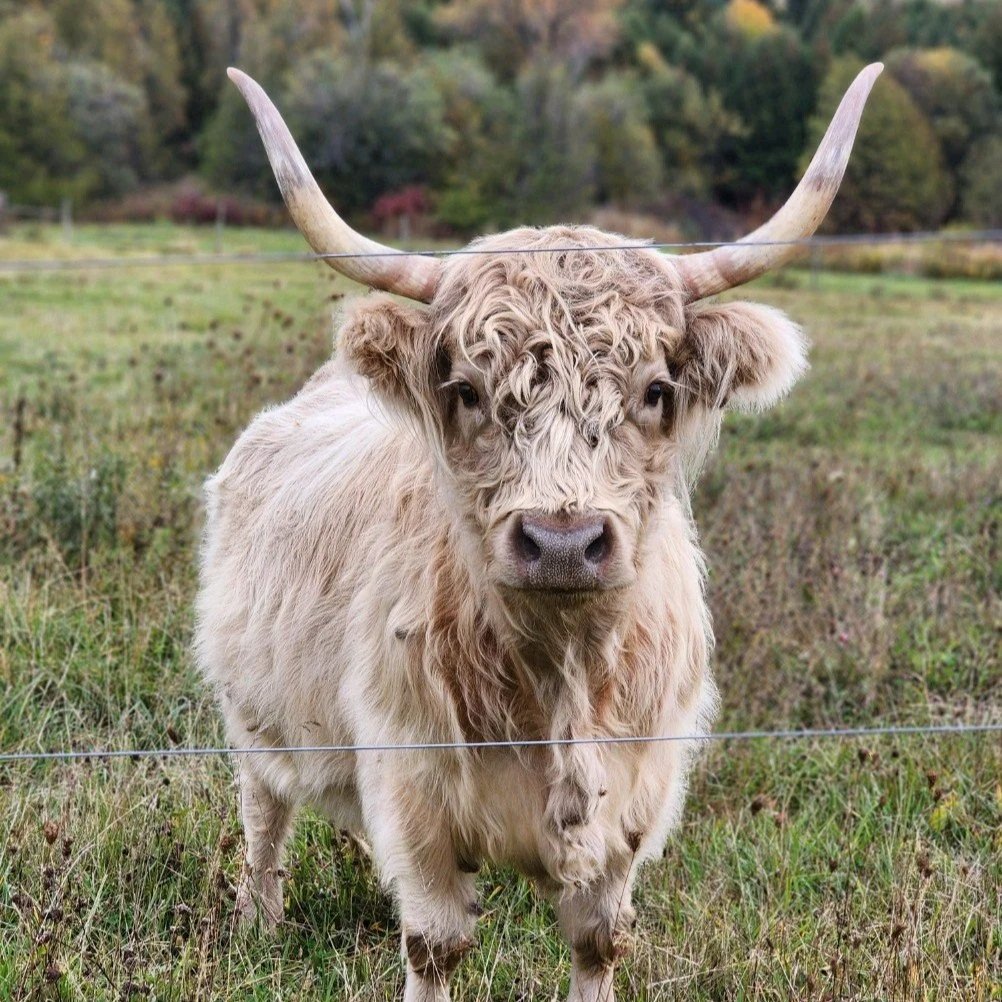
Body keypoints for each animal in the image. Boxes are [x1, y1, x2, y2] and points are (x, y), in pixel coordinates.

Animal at [196, 64, 882, 1002]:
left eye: (657, 389)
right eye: (467, 389)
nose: (562, 542)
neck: (559, 681)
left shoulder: (633, 805)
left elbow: (599, 942)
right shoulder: (414, 791)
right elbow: (435, 943)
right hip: (253, 716)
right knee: (265, 811)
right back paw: (257, 922)